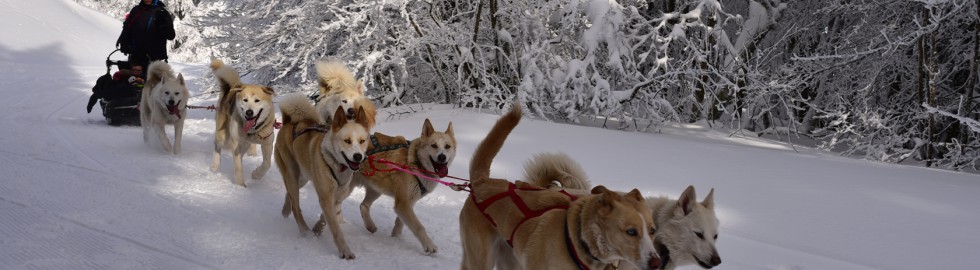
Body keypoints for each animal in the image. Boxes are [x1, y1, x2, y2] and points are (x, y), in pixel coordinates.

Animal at [210, 58, 276, 187]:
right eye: (245, 100)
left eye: (257, 100)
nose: (249, 112)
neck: (253, 131)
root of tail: (231, 88)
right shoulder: (236, 144)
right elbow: (238, 167)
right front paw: (241, 186)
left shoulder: (267, 144)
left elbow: (267, 163)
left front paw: (256, 174)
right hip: (224, 136)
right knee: (217, 146)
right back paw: (214, 165)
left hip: (245, 145)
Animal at [276, 93, 372, 260]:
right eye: (347, 141)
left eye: (362, 141)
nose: (358, 156)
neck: (337, 166)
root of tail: (289, 122)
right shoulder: (326, 196)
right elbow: (335, 227)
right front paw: (345, 251)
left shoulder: (337, 197)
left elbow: (326, 218)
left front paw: (317, 228)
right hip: (292, 174)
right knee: (296, 206)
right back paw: (304, 231)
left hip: (303, 177)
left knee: (290, 195)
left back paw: (285, 211)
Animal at [350, 118, 458, 255]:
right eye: (433, 145)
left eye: (447, 146)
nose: (442, 157)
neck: (416, 163)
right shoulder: (403, 203)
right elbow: (419, 227)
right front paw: (429, 245)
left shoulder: (407, 202)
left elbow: (400, 222)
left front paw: (395, 236)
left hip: (376, 189)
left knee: (363, 205)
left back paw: (370, 225)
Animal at [458, 103, 660, 270]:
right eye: (631, 231)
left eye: (653, 231)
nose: (656, 263)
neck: (576, 241)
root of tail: (482, 182)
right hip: (481, 259)